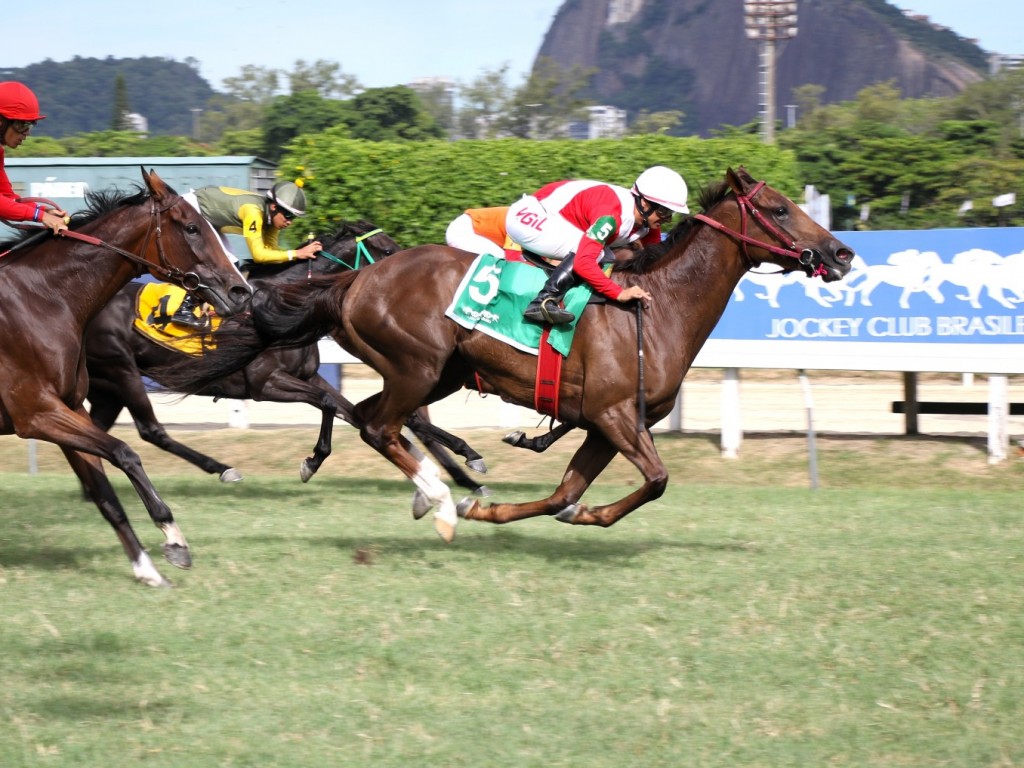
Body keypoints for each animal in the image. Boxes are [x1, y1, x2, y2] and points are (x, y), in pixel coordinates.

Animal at [0, 169, 250, 589]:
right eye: (192, 227)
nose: (240, 290)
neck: (43, 299)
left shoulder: (69, 409)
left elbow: (106, 495)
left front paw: (146, 567)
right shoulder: (35, 413)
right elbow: (125, 452)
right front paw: (173, 537)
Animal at [83, 219, 487, 493]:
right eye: (387, 250)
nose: (406, 273)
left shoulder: (308, 375)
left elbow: (359, 412)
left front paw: (465, 461)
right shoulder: (265, 383)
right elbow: (331, 404)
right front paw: (312, 461)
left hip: (107, 386)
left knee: (97, 430)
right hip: (122, 370)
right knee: (152, 431)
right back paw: (223, 468)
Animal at [157, 167, 856, 540]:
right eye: (777, 209)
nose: (843, 253)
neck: (656, 309)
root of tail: (354, 279)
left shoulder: (604, 424)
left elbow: (564, 494)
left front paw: (527, 508)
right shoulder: (615, 416)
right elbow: (656, 480)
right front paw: (487, 502)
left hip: (435, 372)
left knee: (371, 415)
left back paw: (435, 488)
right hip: (418, 365)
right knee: (379, 424)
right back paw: (439, 499)